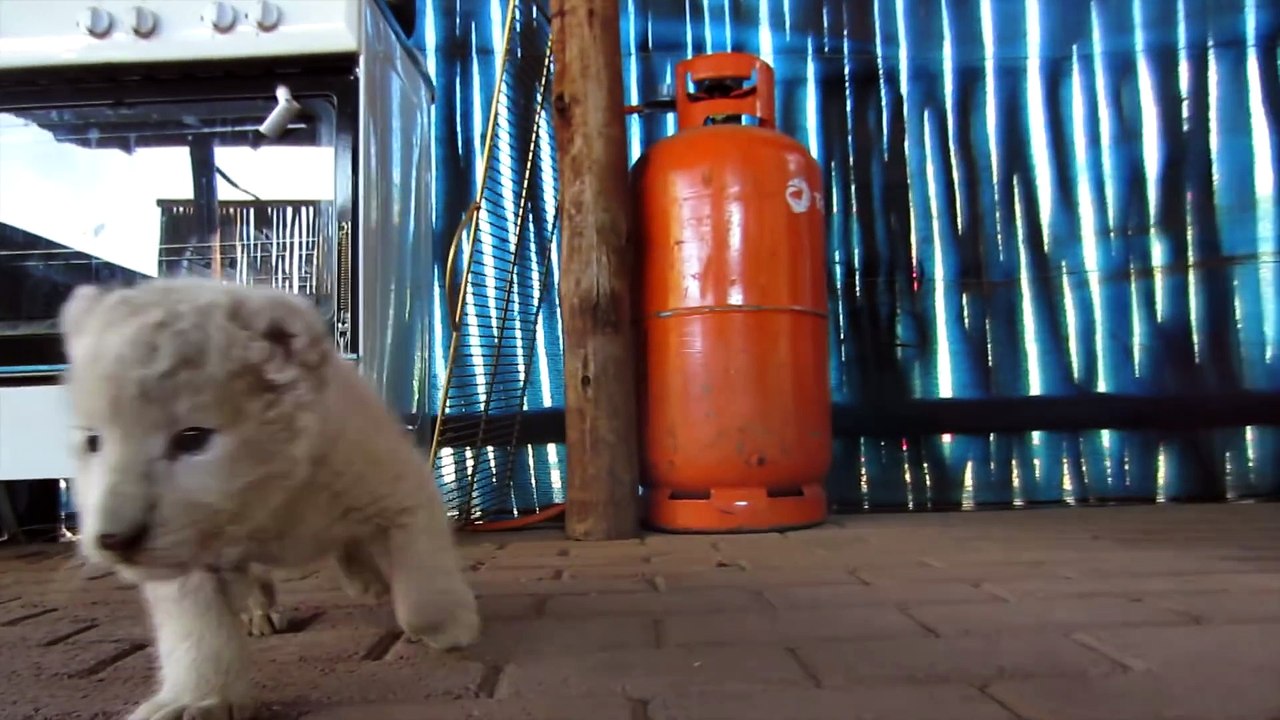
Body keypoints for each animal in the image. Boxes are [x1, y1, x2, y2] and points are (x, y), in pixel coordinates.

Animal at [57, 277, 480, 720]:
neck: (265, 499)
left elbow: (421, 580)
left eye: (192, 438)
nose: (114, 540)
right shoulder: (184, 550)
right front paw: (197, 700)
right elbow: (196, 623)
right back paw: (263, 612)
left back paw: (368, 582)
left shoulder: (387, 478)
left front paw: (449, 626)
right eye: (93, 441)